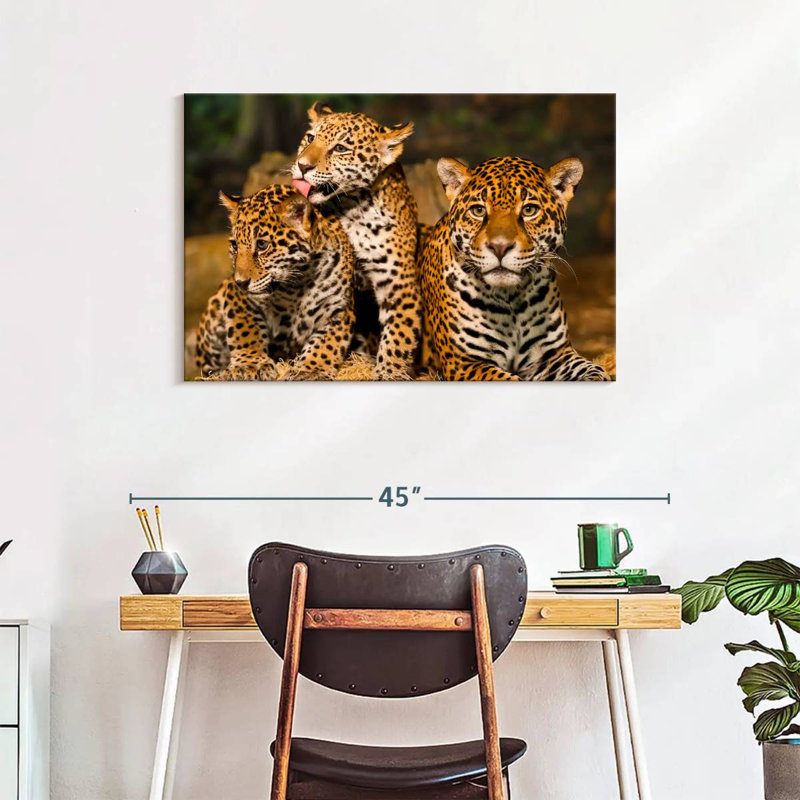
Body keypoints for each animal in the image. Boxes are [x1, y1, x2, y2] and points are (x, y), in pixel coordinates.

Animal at [195, 184, 355, 381]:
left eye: (262, 245)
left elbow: (327, 344)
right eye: (234, 245)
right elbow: (245, 329)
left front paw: (311, 370)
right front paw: (249, 365)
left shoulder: (339, 309)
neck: (298, 283)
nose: (240, 282)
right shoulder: (237, 297)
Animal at [291, 102, 421, 380]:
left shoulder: (400, 284)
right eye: (310, 138)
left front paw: (389, 372)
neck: (354, 209)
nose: (302, 166)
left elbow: (399, 335)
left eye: (340, 148)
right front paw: (310, 368)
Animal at [418, 156, 610, 381]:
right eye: (478, 211)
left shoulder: (554, 355)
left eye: (529, 210)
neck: (511, 300)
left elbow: (593, 370)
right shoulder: (464, 363)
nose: (500, 247)